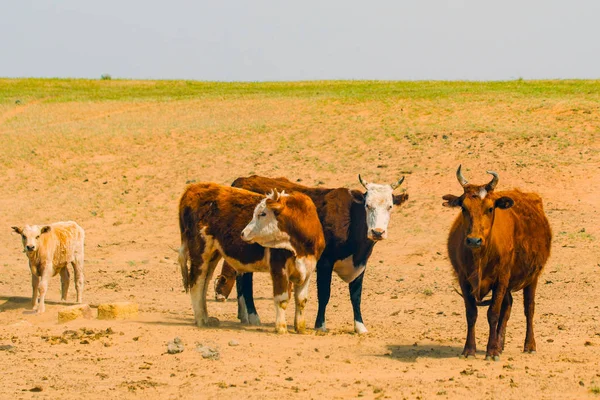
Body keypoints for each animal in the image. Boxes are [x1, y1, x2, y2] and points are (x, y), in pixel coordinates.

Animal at [178, 183, 324, 332]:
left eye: (262, 213)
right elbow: (282, 299)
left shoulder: (308, 268)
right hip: (200, 251)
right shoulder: (278, 268)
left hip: (213, 254)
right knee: (197, 282)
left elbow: (301, 300)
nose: (243, 233)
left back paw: (207, 318)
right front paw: (281, 328)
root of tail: (193, 188)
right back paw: (201, 319)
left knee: (205, 282)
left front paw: (300, 328)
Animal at [214, 175, 408, 334]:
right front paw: (320, 325)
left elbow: (356, 296)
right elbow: (324, 294)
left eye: (390, 206)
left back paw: (244, 315)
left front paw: (360, 327)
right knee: (246, 281)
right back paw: (253, 316)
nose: (377, 232)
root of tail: (241, 181)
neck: (350, 221)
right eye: (368, 205)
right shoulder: (324, 263)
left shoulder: (361, 264)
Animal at [442, 165, 552, 360]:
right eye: (463, 207)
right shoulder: (464, 279)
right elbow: (472, 313)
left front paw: (491, 351)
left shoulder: (501, 279)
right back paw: (500, 343)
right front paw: (469, 349)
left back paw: (529, 345)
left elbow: (493, 313)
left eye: (491, 208)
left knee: (529, 308)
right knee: (507, 308)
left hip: (533, 277)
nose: (474, 240)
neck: (480, 256)